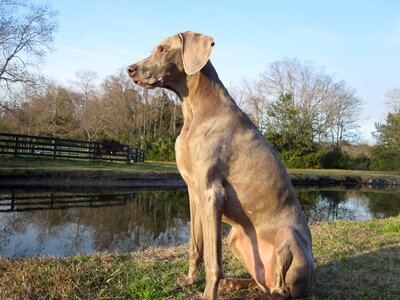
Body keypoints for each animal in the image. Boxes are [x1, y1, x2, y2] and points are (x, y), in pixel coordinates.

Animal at [126, 31, 314, 300]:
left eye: (162, 49)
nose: (130, 69)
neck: (194, 110)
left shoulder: (211, 193)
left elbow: (213, 260)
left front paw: (206, 295)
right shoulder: (193, 193)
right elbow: (195, 246)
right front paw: (188, 280)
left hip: (288, 235)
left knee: (280, 289)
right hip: (236, 236)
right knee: (260, 280)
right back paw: (233, 283)